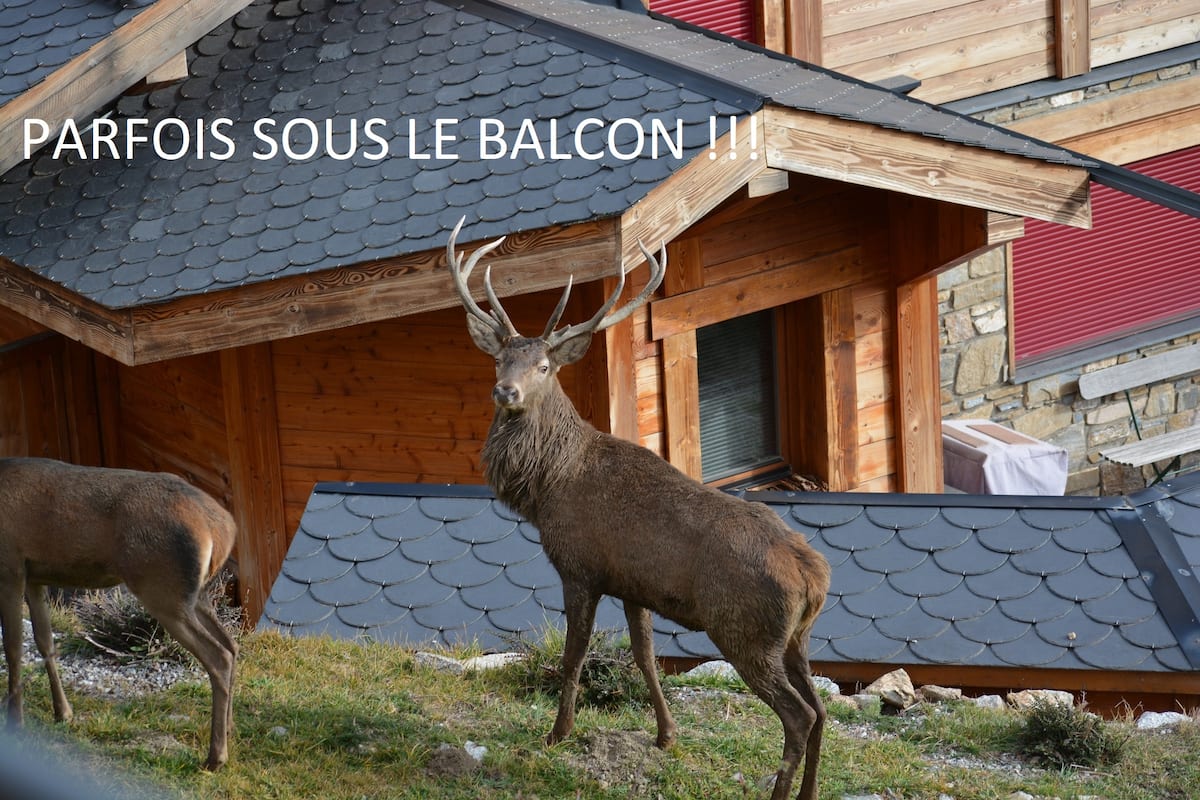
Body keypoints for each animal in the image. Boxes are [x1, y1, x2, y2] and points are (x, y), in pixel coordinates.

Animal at [0, 457, 238, 771]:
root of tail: (223, 529)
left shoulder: (10, 565)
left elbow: (13, 647)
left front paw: (14, 722)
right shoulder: (35, 576)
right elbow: (44, 642)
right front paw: (63, 712)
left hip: (162, 588)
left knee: (219, 656)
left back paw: (215, 756)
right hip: (196, 593)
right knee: (231, 645)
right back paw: (229, 730)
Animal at [447, 218, 831, 800]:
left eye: (543, 365)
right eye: (499, 358)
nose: (504, 390)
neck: (548, 488)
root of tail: (812, 576)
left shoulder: (580, 566)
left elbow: (574, 654)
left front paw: (557, 733)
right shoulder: (632, 583)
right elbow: (645, 654)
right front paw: (666, 735)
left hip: (744, 630)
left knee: (799, 715)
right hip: (796, 638)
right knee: (821, 708)